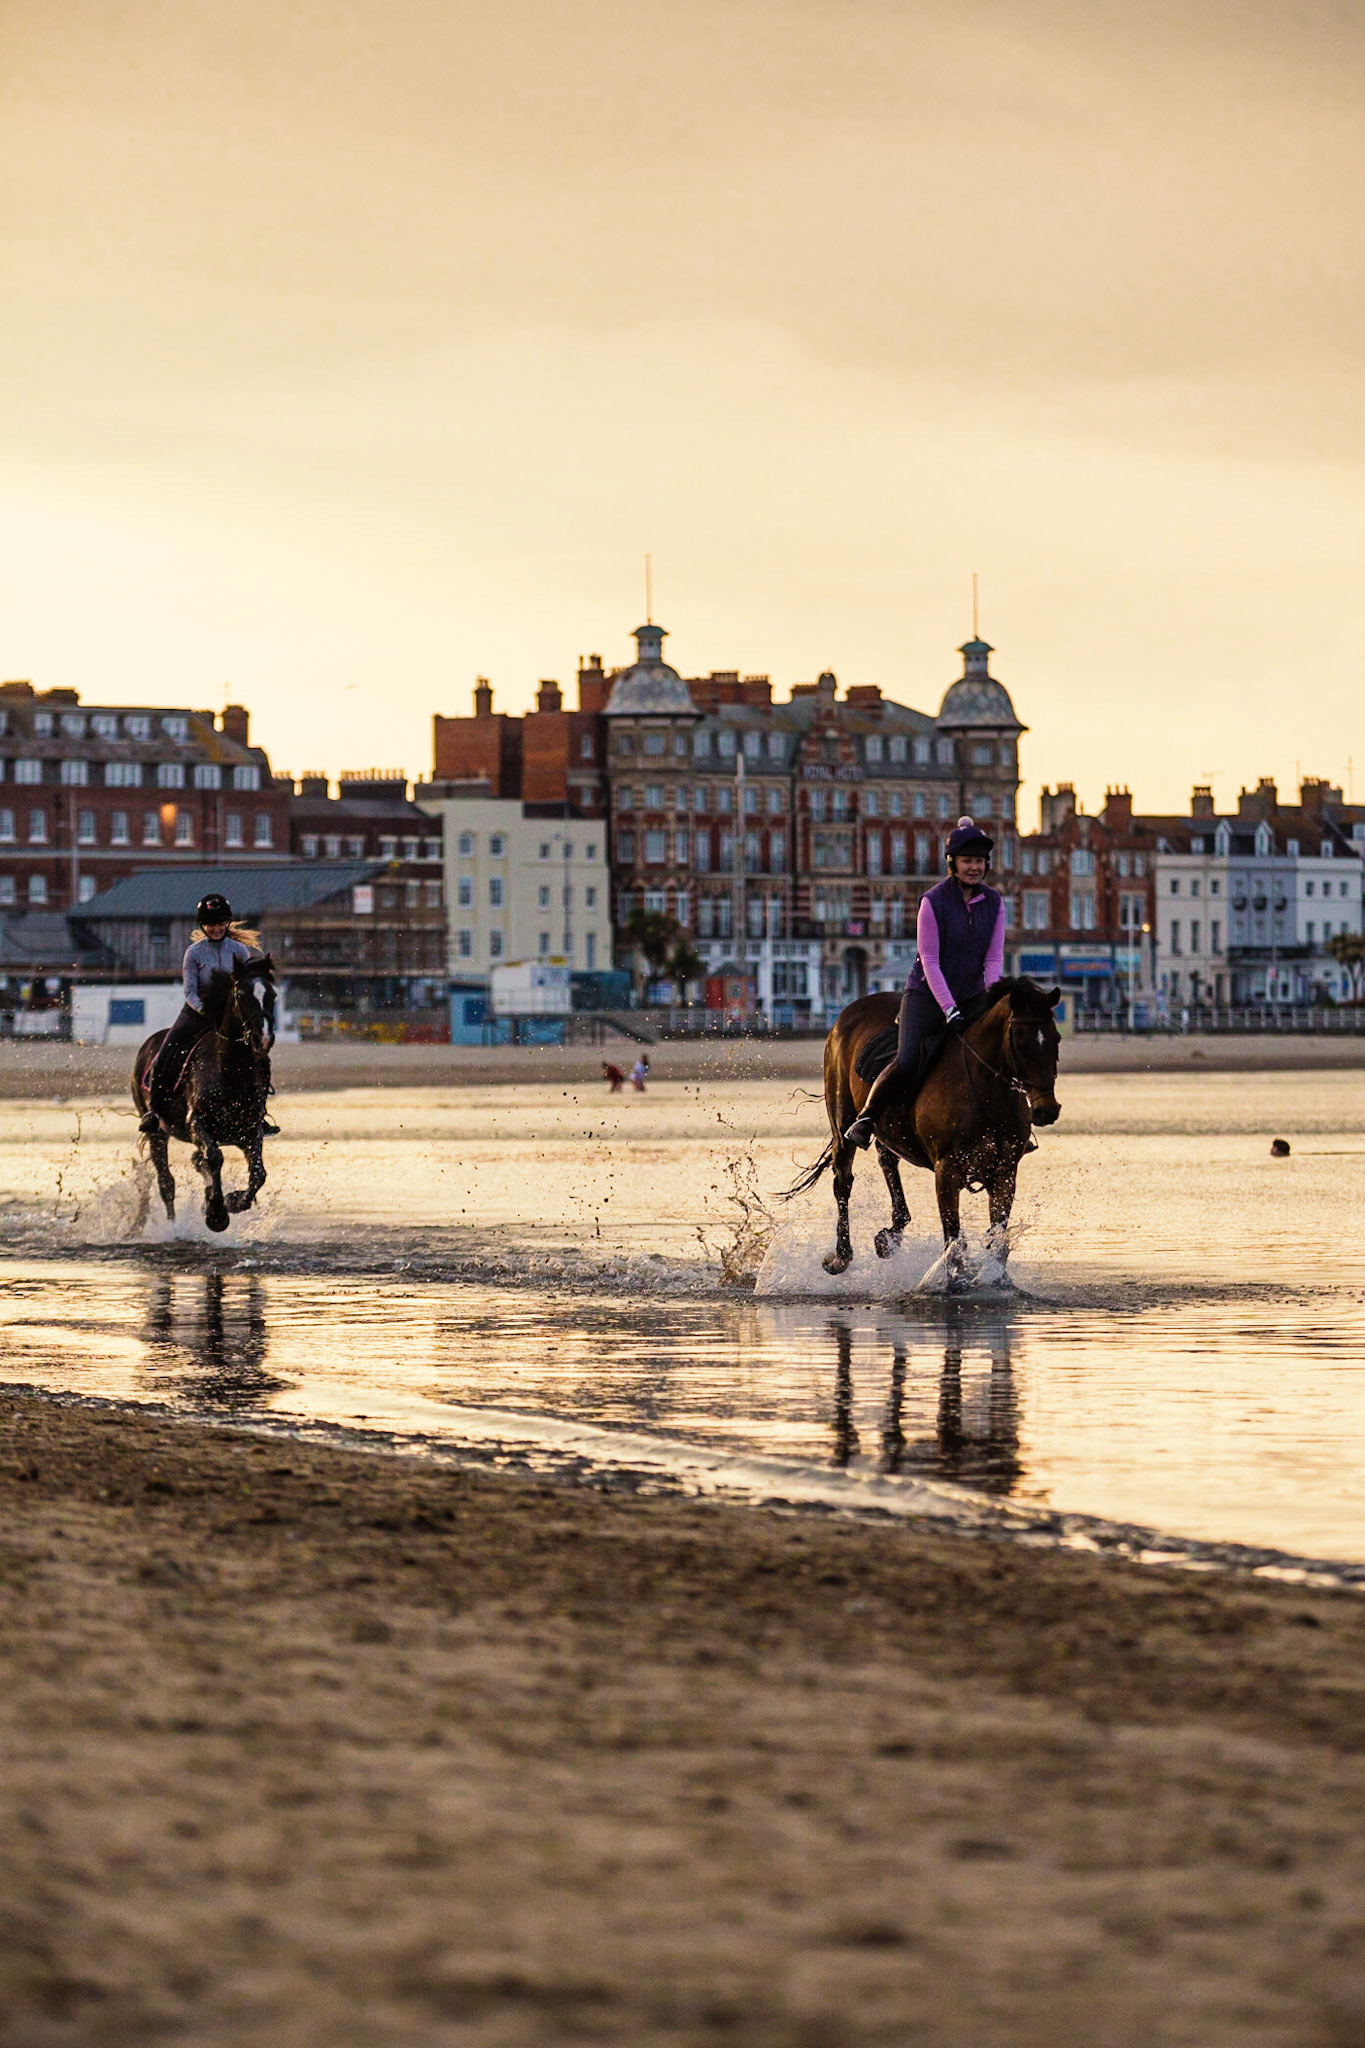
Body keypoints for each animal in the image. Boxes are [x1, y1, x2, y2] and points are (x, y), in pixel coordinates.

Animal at [130, 956, 277, 1234]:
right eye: (241, 994)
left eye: (272, 995)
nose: (263, 1039)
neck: (230, 1070)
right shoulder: (197, 1124)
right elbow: (215, 1157)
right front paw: (217, 1214)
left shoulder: (249, 1130)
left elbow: (258, 1173)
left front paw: (232, 1201)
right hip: (157, 1132)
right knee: (167, 1182)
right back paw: (173, 1226)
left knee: (196, 1162)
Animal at [784, 977, 1063, 1286]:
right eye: (1021, 1040)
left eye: (1056, 1039)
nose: (1047, 1110)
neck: (986, 1091)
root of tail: (848, 1013)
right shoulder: (947, 1171)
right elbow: (953, 1239)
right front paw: (955, 1280)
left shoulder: (1005, 1173)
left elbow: (998, 1241)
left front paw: (995, 1280)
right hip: (841, 1121)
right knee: (843, 1182)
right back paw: (840, 1258)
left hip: (887, 1131)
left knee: (888, 1163)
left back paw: (889, 1237)